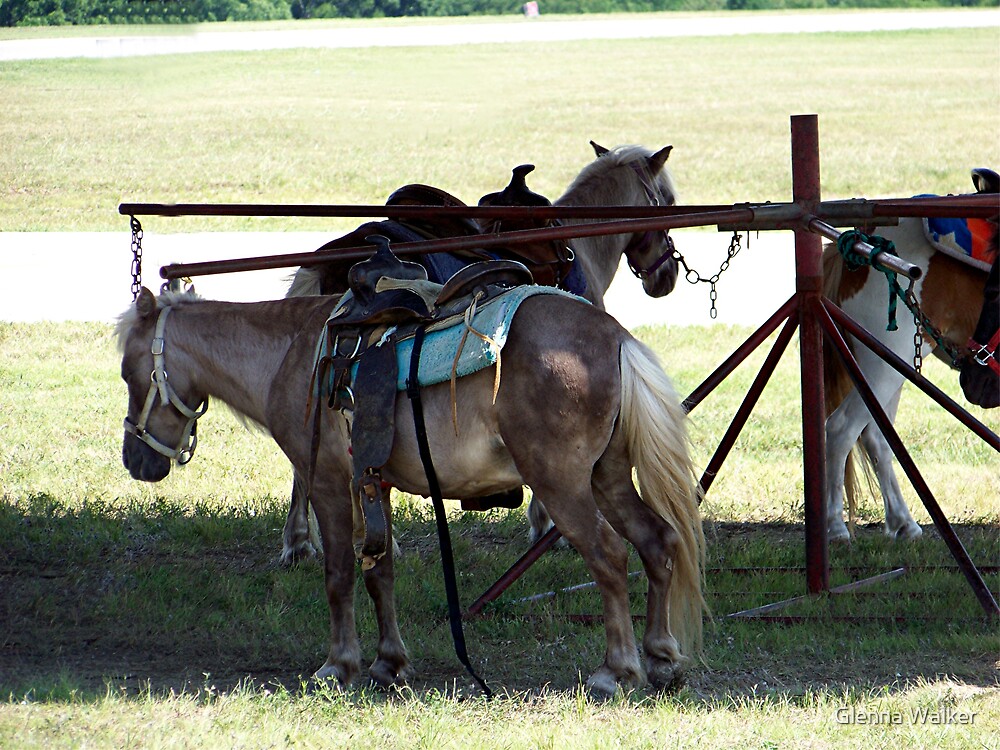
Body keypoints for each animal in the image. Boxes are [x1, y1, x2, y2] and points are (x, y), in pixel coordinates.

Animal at [117, 284, 708, 696]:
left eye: (129, 373)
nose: (135, 460)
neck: (290, 354)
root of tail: (614, 337)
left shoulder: (327, 484)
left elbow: (339, 575)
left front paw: (339, 665)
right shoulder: (372, 484)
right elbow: (380, 575)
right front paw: (388, 663)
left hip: (563, 485)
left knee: (610, 556)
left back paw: (617, 670)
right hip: (607, 477)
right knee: (657, 542)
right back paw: (660, 658)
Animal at [824, 170, 996, 544]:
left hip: (886, 363)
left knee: (877, 436)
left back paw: (903, 522)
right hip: (883, 365)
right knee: (842, 428)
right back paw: (835, 528)